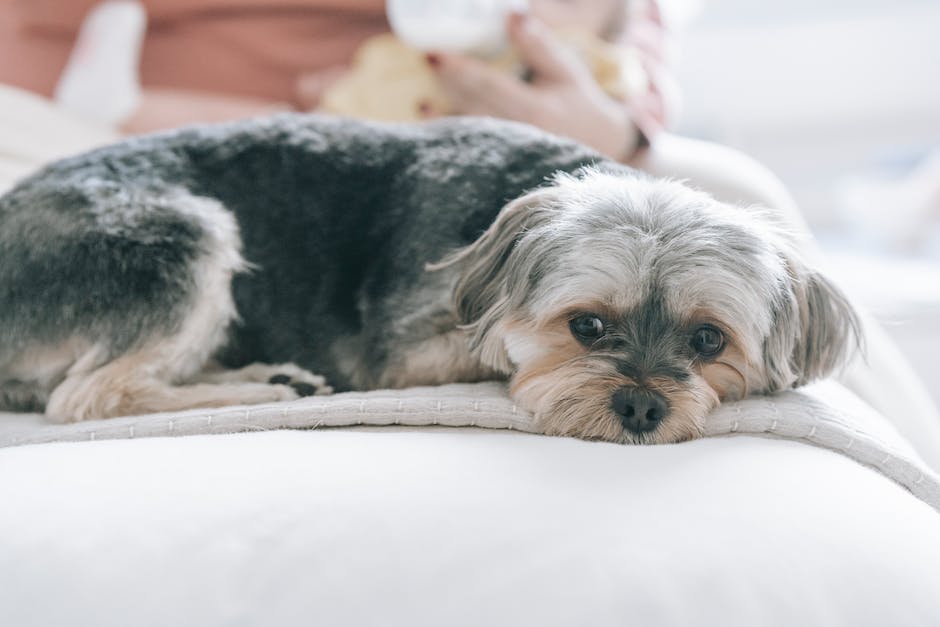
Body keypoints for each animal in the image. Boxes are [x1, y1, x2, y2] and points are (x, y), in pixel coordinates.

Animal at [0, 115, 860, 444]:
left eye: (710, 339)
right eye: (585, 325)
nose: (643, 407)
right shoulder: (405, 351)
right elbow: (490, 349)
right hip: (178, 237)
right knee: (89, 395)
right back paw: (262, 388)